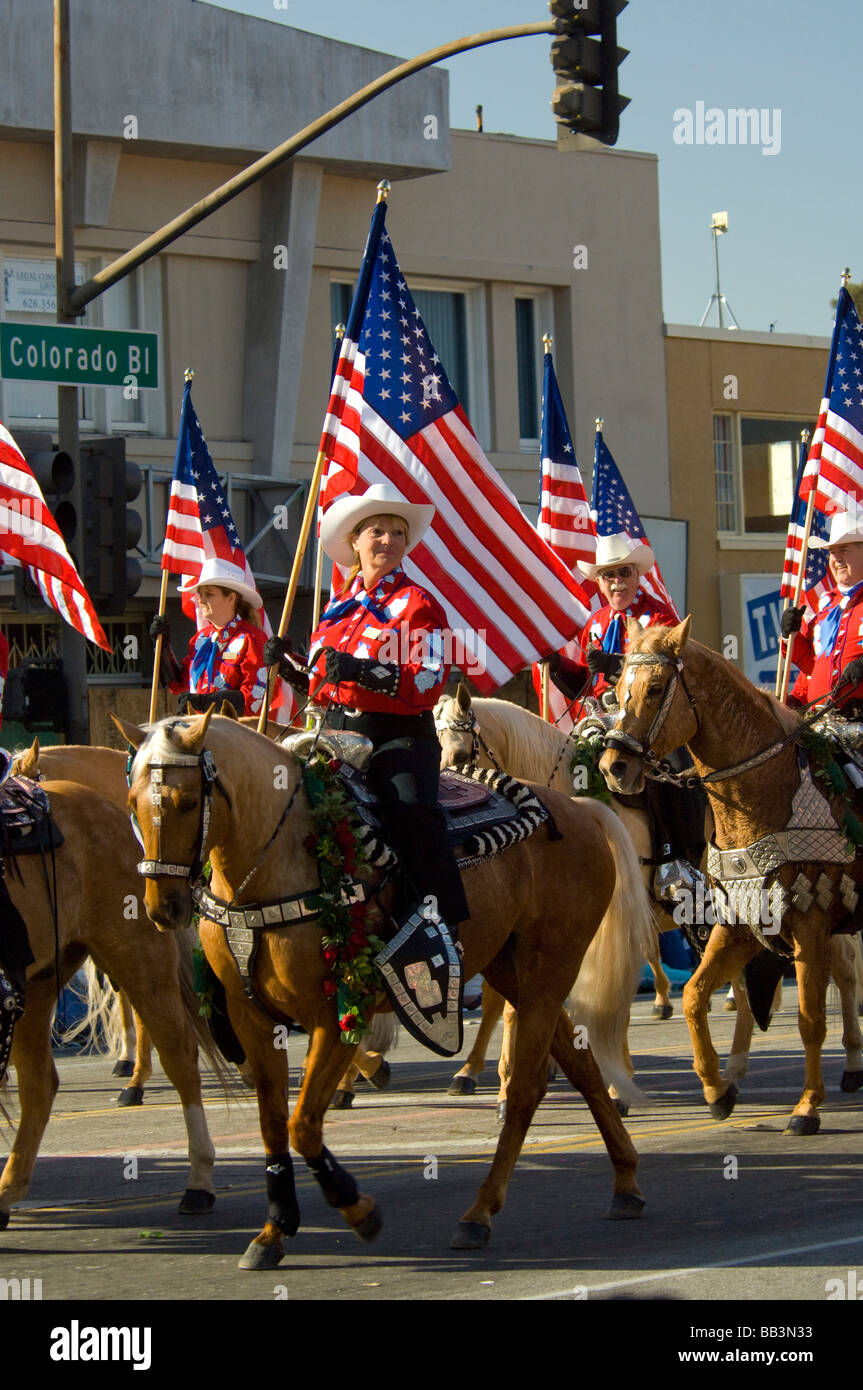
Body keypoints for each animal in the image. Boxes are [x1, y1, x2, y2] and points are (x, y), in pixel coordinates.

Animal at [116, 711, 653, 1267]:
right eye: (132, 801)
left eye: (185, 802)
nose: (162, 908)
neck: (280, 860)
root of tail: (582, 810)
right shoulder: (253, 1020)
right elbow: (274, 1125)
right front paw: (274, 1230)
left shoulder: (334, 1016)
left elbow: (303, 1124)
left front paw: (356, 1208)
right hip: (517, 974)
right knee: (582, 1066)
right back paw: (625, 1182)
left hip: (548, 973)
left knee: (528, 1089)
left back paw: (479, 1214)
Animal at [603, 617, 861, 1128]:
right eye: (618, 690)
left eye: (656, 688)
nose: (612, 766)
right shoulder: (738, 925)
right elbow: (694, 996)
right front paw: (716, 1089)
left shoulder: (810, 925)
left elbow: (810, 1019)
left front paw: (807, 1106)